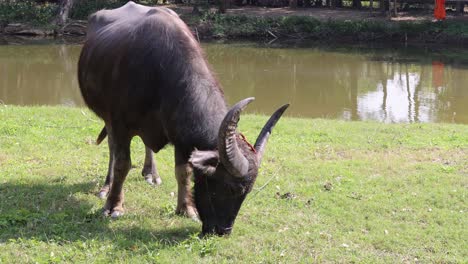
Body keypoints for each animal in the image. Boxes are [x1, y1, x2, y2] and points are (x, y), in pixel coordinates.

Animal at [77, 1, 288, 234]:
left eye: (248, 191)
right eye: (231, 187)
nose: (223, 231)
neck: (158, 74)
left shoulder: (181, 136)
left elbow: (183, 171)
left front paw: (186, 209)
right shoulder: (120, 124)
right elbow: (122, 164)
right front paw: (114, 206)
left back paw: (151, 174)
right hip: (107, 118)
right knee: (112, 150)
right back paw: (107, 187)